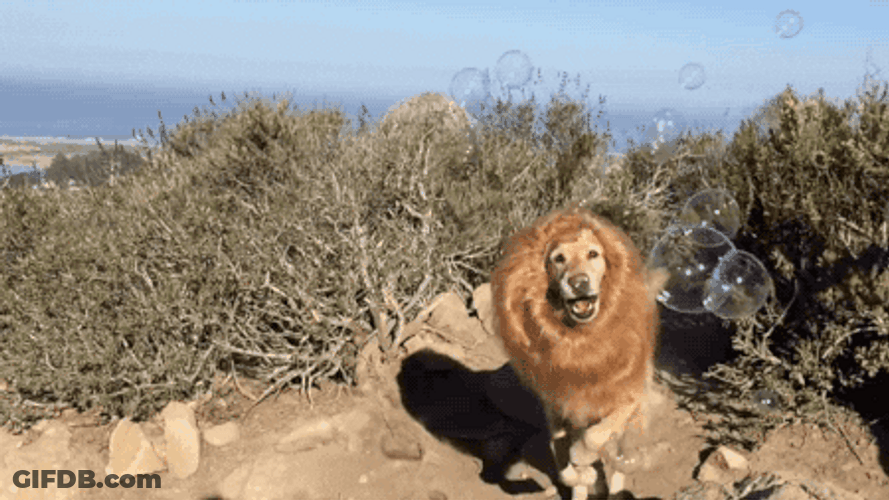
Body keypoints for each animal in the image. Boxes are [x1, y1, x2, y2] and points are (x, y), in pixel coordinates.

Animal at [491, 206, 669, 499]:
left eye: (593, 254)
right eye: (558, 259)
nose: (578, 282)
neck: (581, 341)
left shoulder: (628, 400)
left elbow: (594, 438)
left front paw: (584, 458)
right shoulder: (559, 412)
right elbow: (564, 465)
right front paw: (585, 474)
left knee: (618, 460)